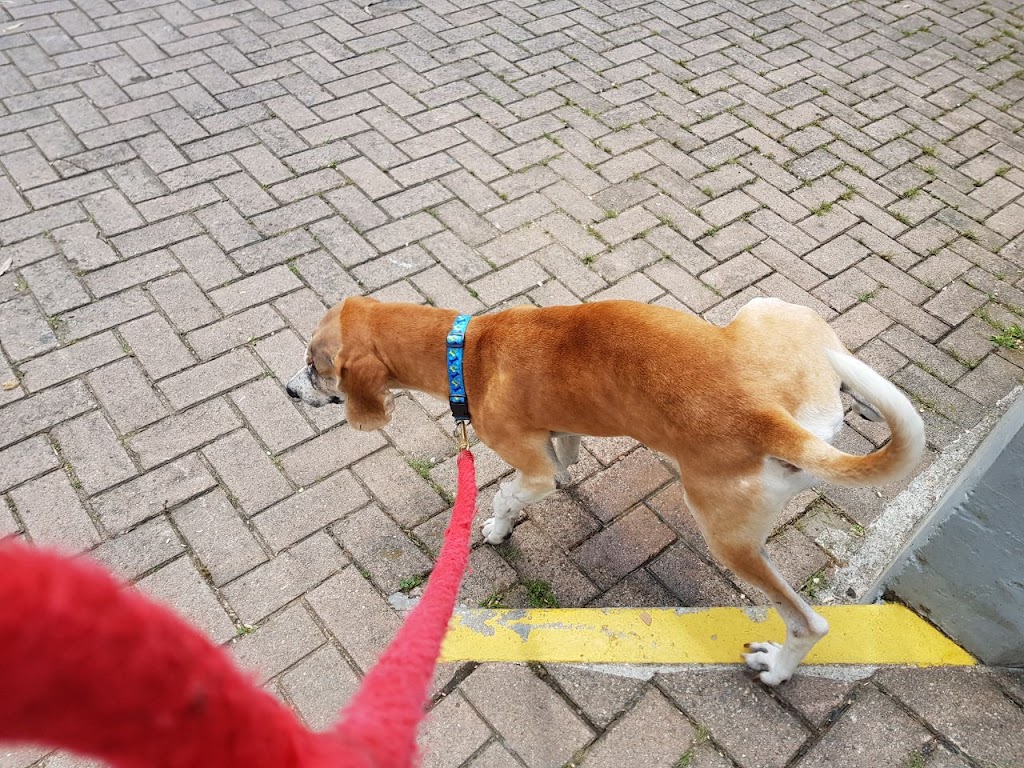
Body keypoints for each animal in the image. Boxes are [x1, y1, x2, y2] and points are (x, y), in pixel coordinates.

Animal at [286, 296, 925, 684]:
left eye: (317, 366)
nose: (289, 391)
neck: (465, 349)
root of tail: (764, 415)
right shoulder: (559, 432)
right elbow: (563, 459)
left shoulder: (527, 464)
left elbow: (506, 495)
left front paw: (496, 527)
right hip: (775, 320)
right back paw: (865, 397)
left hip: (728, 537)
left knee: (808, 622)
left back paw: (780, 666)